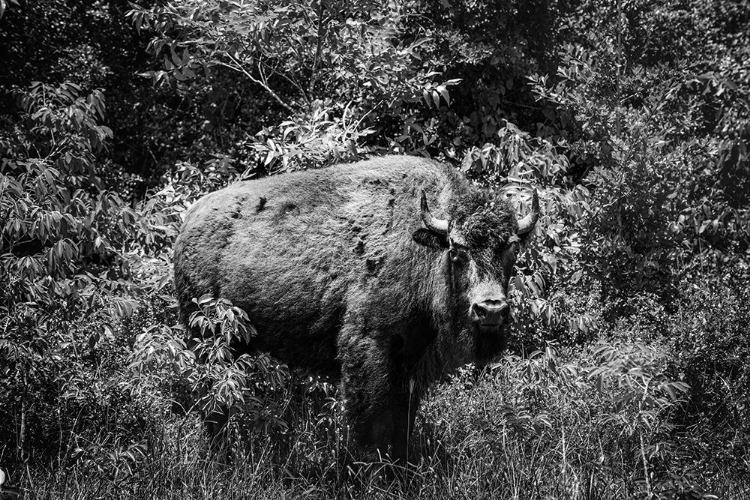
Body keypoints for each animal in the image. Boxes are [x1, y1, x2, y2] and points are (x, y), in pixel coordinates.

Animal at [175, 154, 540, 462]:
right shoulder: (368, 347)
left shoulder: (411, 359)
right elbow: (371, 423)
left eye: (511, 247)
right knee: (214, 403)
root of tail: (188, 221)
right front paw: (369, 470)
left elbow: (402, 421)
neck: (423, 246)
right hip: (208, 338)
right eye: (456, 249)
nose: (491, 309)